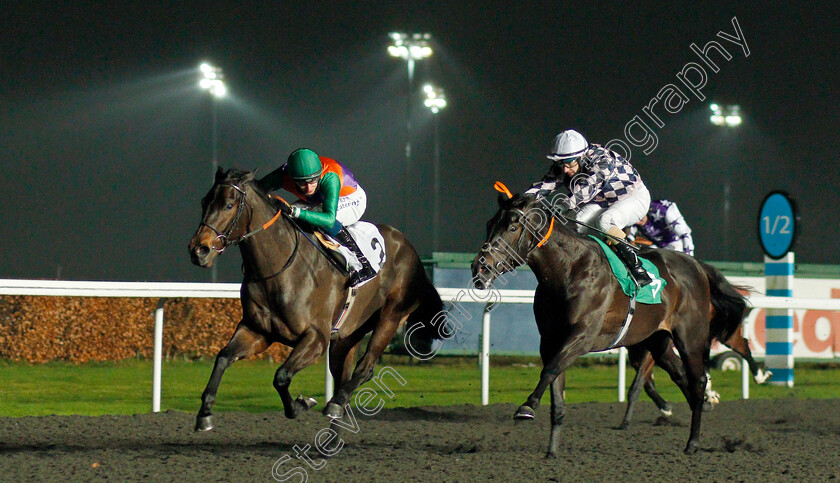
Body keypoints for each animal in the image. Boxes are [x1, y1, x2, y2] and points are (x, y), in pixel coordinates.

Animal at [476, 191, 744, 456]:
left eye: (512, 227)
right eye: (489, 224)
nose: (480, 268)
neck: (569, 269)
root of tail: (697, 265)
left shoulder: (582, 336)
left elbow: (549, 370)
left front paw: (527, 406)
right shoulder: (550, 340)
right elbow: (556, 388)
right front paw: (551, 451)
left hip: (690, 338)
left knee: (697, 380)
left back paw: (693, 442)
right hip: (657, 340)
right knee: (680, 375)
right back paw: (700, 412)